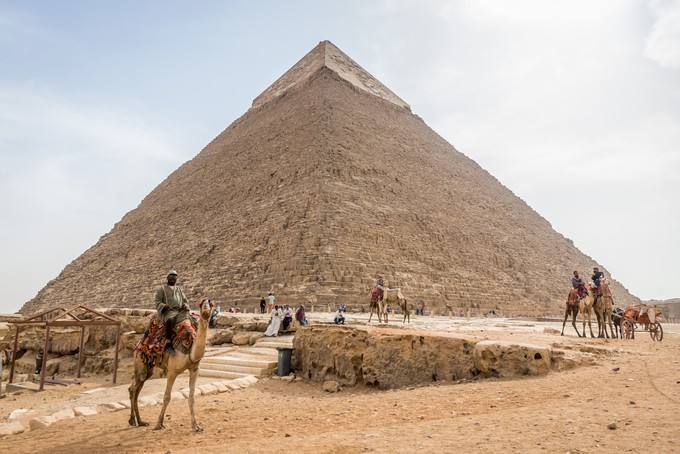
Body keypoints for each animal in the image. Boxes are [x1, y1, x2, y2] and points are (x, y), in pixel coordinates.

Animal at [128, 300, 211, 430]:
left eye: (211, 304)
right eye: (201, 304)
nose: (206, 312)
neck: (190, 350)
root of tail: (138, 344)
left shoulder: (194, 369)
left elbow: (192, 398)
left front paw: (196, 427)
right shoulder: (172, 371)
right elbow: (167, 397)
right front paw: (158, 424)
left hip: (148, 368)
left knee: (138, 389)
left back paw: (141, 421)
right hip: (139, 361)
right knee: (133, 388)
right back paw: (132, 420)